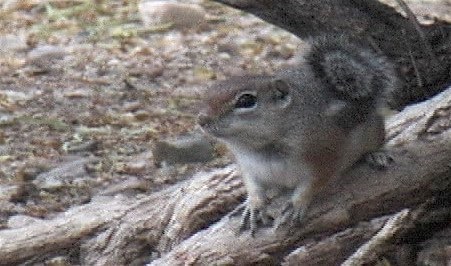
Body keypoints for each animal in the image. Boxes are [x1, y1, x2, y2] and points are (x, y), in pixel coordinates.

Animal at [198, 35, 400, 235]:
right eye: (211, 89)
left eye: (246, 100)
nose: (201, 119)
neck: (263, 146)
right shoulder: (248, 166)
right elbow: (252, 185)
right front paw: (253, 204)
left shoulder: (326, 156)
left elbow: (313, 184)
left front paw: (297, 203)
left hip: (373, 132)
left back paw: (376, 155)